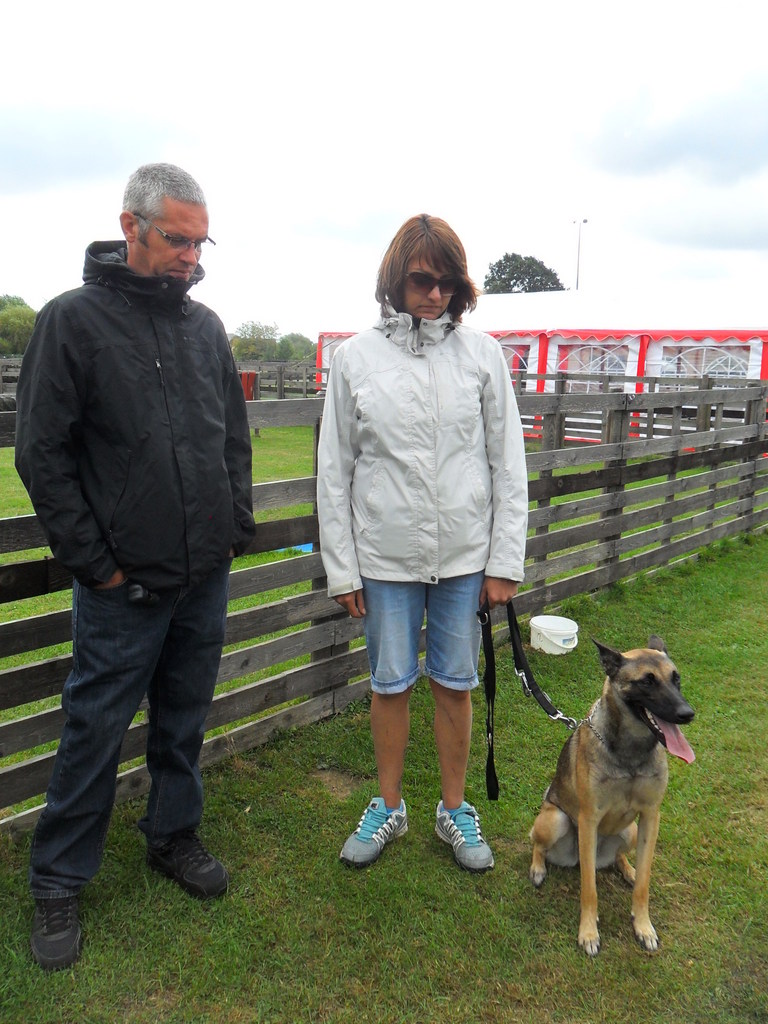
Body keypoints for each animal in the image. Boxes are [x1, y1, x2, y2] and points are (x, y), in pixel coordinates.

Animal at [528, 635, 695, 956]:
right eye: (647, 681)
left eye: (676, 678)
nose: (687, 714)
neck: (630, 754)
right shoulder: (589, 819)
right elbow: (589, 889)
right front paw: (588, 933)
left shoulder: (651, 816)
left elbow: (644, 882)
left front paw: (643, 926)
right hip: (556, 820)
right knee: (539, 846)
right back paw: (538, 868)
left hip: (631, 831)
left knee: (619, 856)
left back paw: (628, 870)